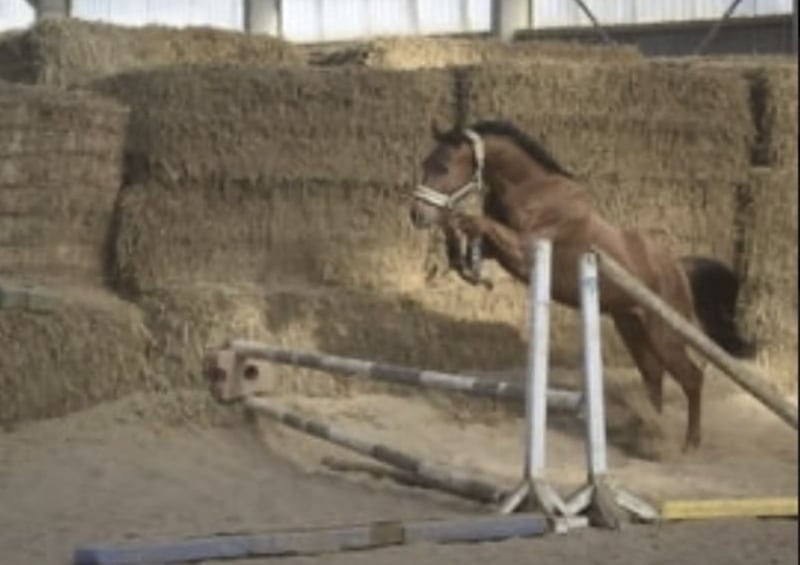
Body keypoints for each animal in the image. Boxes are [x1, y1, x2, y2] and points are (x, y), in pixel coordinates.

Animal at [409, 120, 755, 452]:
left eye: (443, 167)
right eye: (426, 162)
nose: (416, 215)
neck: (529, 190)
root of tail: (679, 269)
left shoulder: (525, 249)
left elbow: (470, 222)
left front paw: (467, 261)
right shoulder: (505, 249)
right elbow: (468, 229)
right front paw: (463, 263)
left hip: (664, 333)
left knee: (691, 377)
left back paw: (688, 443)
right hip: (632, 327)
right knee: (654, 377)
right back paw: (649, 434)